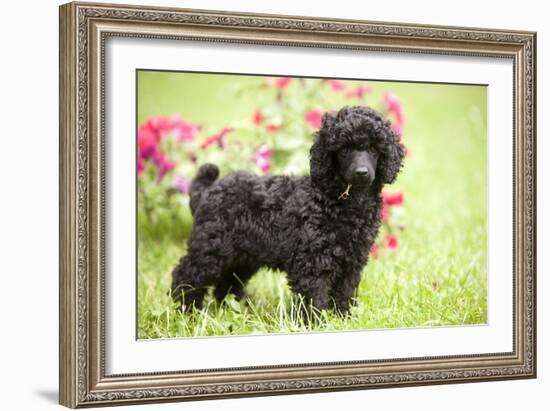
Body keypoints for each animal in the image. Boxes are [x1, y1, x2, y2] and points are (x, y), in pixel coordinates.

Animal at [172, 104, 410, 314]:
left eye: (374, 149)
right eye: (344, 150)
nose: (361, 172)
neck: (339, 200)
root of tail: (207, 191)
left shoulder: (353, 260)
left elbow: (345, 292)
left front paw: (344, 316)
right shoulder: (312, 260)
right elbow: (315, 295)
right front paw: (316, 322)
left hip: (243, 255)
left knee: (228, 282)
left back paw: (238, 308)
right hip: (211, 247)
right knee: (187, 274)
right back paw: (188, 311)